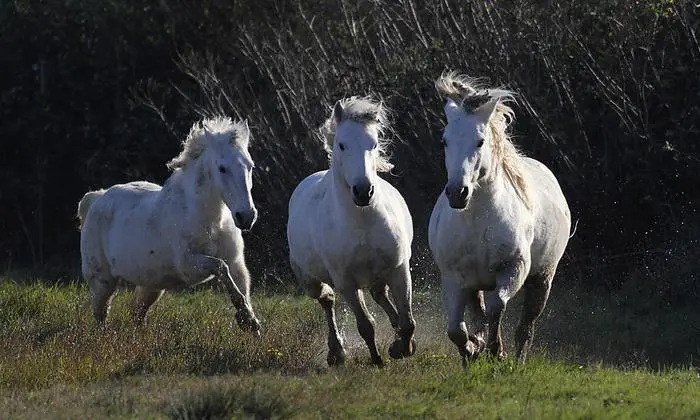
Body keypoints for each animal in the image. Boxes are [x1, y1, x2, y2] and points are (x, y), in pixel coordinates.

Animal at [77, 116, 261, 334]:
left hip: (151, 287)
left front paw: (251, 322)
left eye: (250, 166)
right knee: (100, 313)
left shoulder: (236, 262)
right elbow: (220, 267)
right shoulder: (189, 264)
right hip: (103, 281)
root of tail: (97, 198)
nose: (246, 216)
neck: (211, 221)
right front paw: (247, 321)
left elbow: (240, 286)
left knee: (136, 315)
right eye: (222, 168)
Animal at [287, 96, 416, 367]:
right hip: (310, 281)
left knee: (380, 295)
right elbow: (366, 325)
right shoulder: (346, 282)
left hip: (378, 273)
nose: (363, 191)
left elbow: (408, 320)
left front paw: (402, 347)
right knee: (327, 300)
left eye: (374, 143)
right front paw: (378, 359)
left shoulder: (399, 269)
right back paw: (336, 352)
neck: (362, 222)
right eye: (342, 145)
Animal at [428, 71, 571, 366]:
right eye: (445, 140)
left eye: (480, 141)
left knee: (525, 327)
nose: (457, 193)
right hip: (474, 283)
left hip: (542, 279)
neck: (477, 221)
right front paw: (472, 350)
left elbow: (496, 308)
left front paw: (495, 351)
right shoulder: (454, 278)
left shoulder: (513, 269)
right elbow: (456, 330)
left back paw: (516, 360)